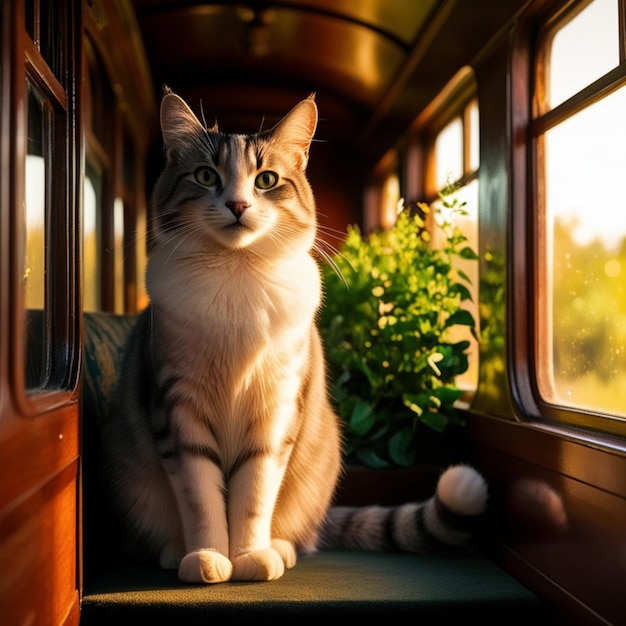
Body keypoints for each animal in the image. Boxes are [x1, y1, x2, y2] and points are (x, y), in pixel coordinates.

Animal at [98, 90, 488, 584]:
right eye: (206, 175)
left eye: (266, 180)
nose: (238, 205)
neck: (237, 275)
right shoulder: (178, 407)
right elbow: (202, 497)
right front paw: (209, 557)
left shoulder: (276, 407)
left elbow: (253, 496)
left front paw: (250, 556)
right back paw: (174, 551)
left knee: (304, 538)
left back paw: (279, 549)